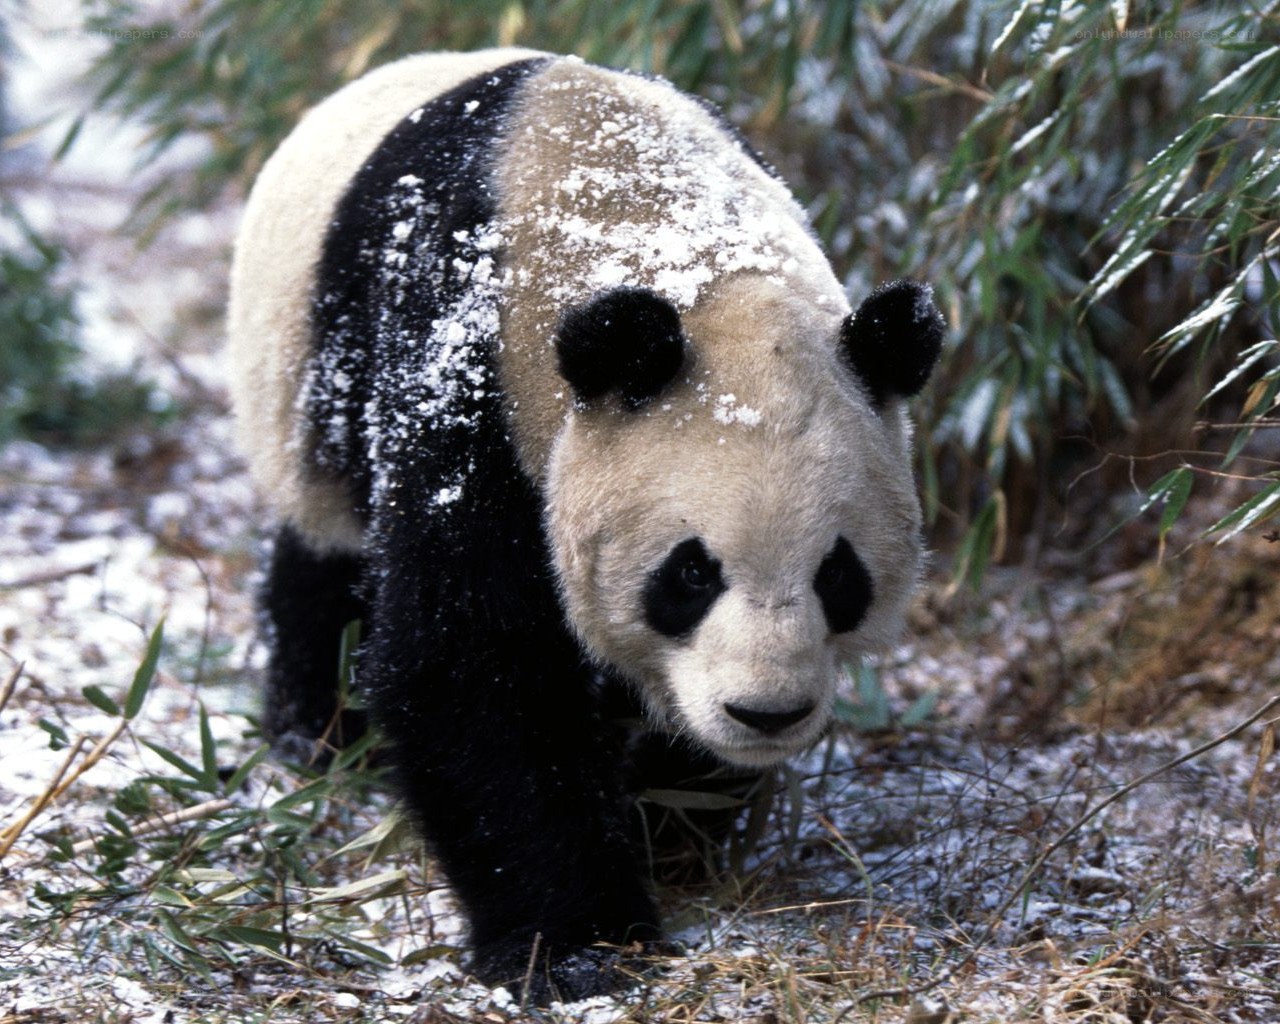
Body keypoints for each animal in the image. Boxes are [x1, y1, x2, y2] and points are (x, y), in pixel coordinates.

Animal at [227, 49, 943, 1003]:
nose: (766, 712)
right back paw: (322, 728)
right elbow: (473, 665)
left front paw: (670, 823)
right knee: (327, 554)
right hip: (307, 389)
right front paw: (578, 944)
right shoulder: (465, 376)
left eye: (839, 574)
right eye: (690, 574)